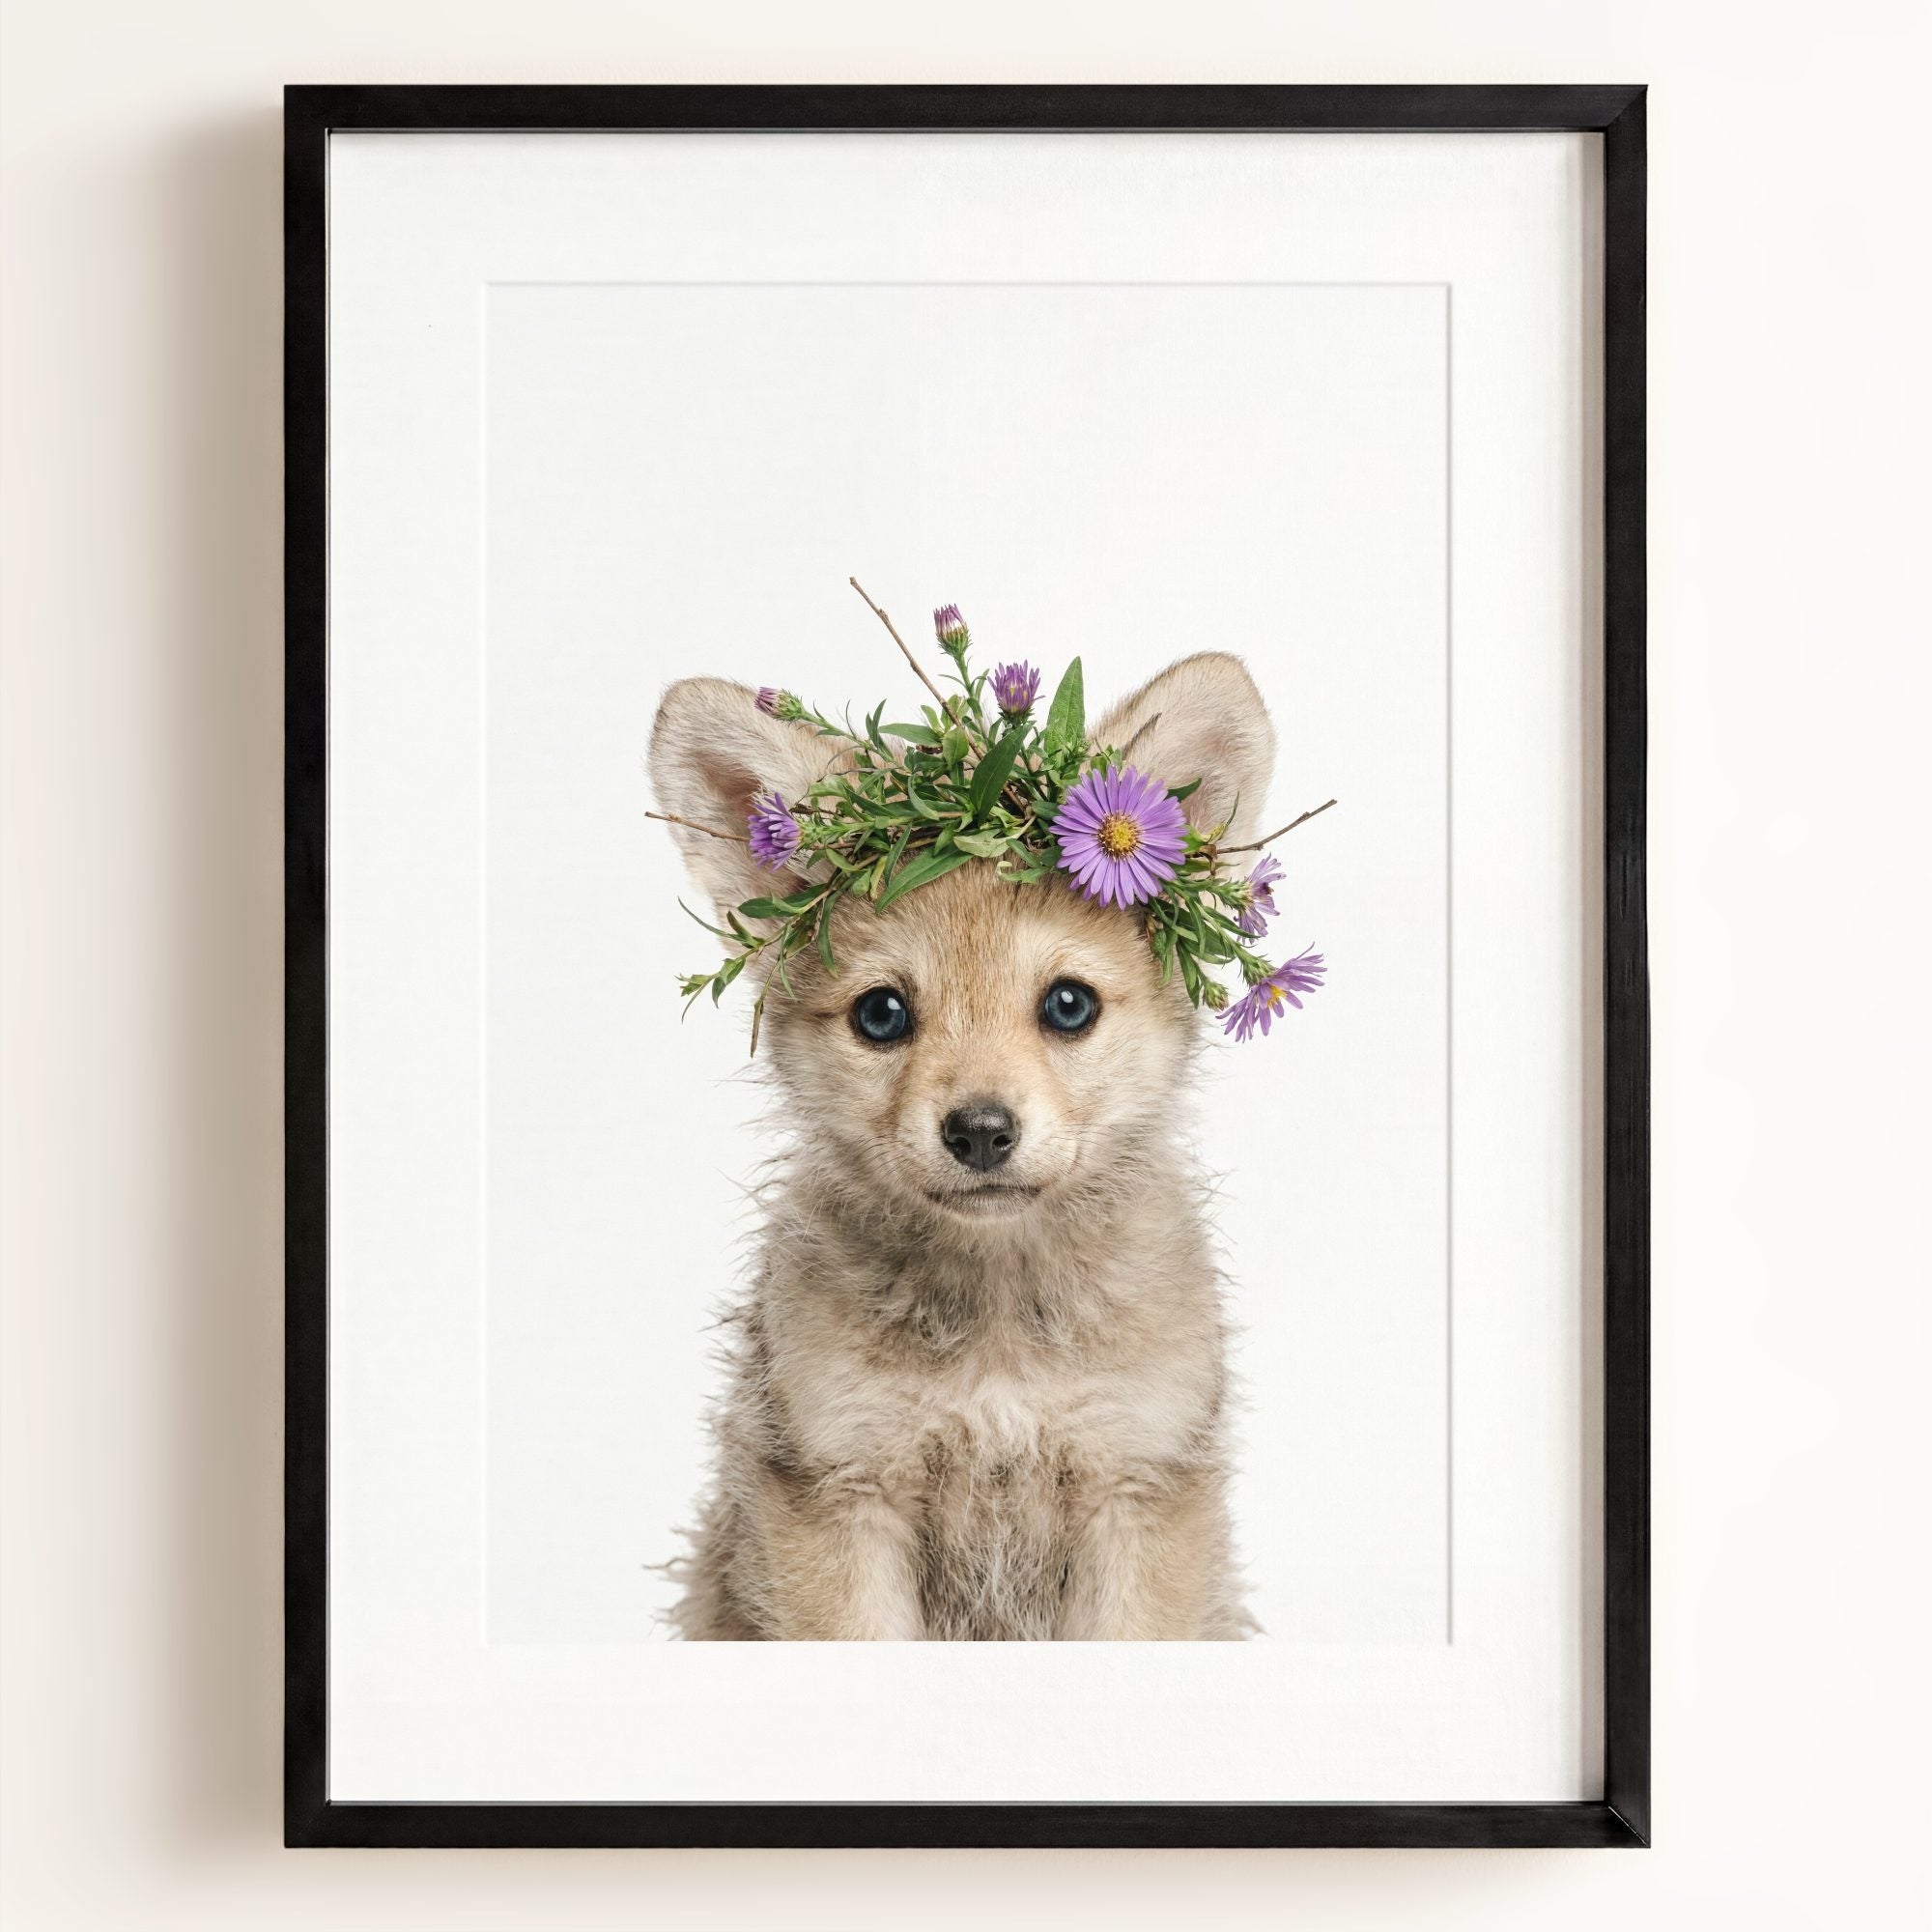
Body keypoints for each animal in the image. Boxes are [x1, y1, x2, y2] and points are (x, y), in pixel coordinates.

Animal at [648, 653, 1275, 1639]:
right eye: (881, 1014)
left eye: (1069, 1004)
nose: (980, 1131)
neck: (999, 1327)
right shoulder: (840, 1491)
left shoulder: (1136, 1488)